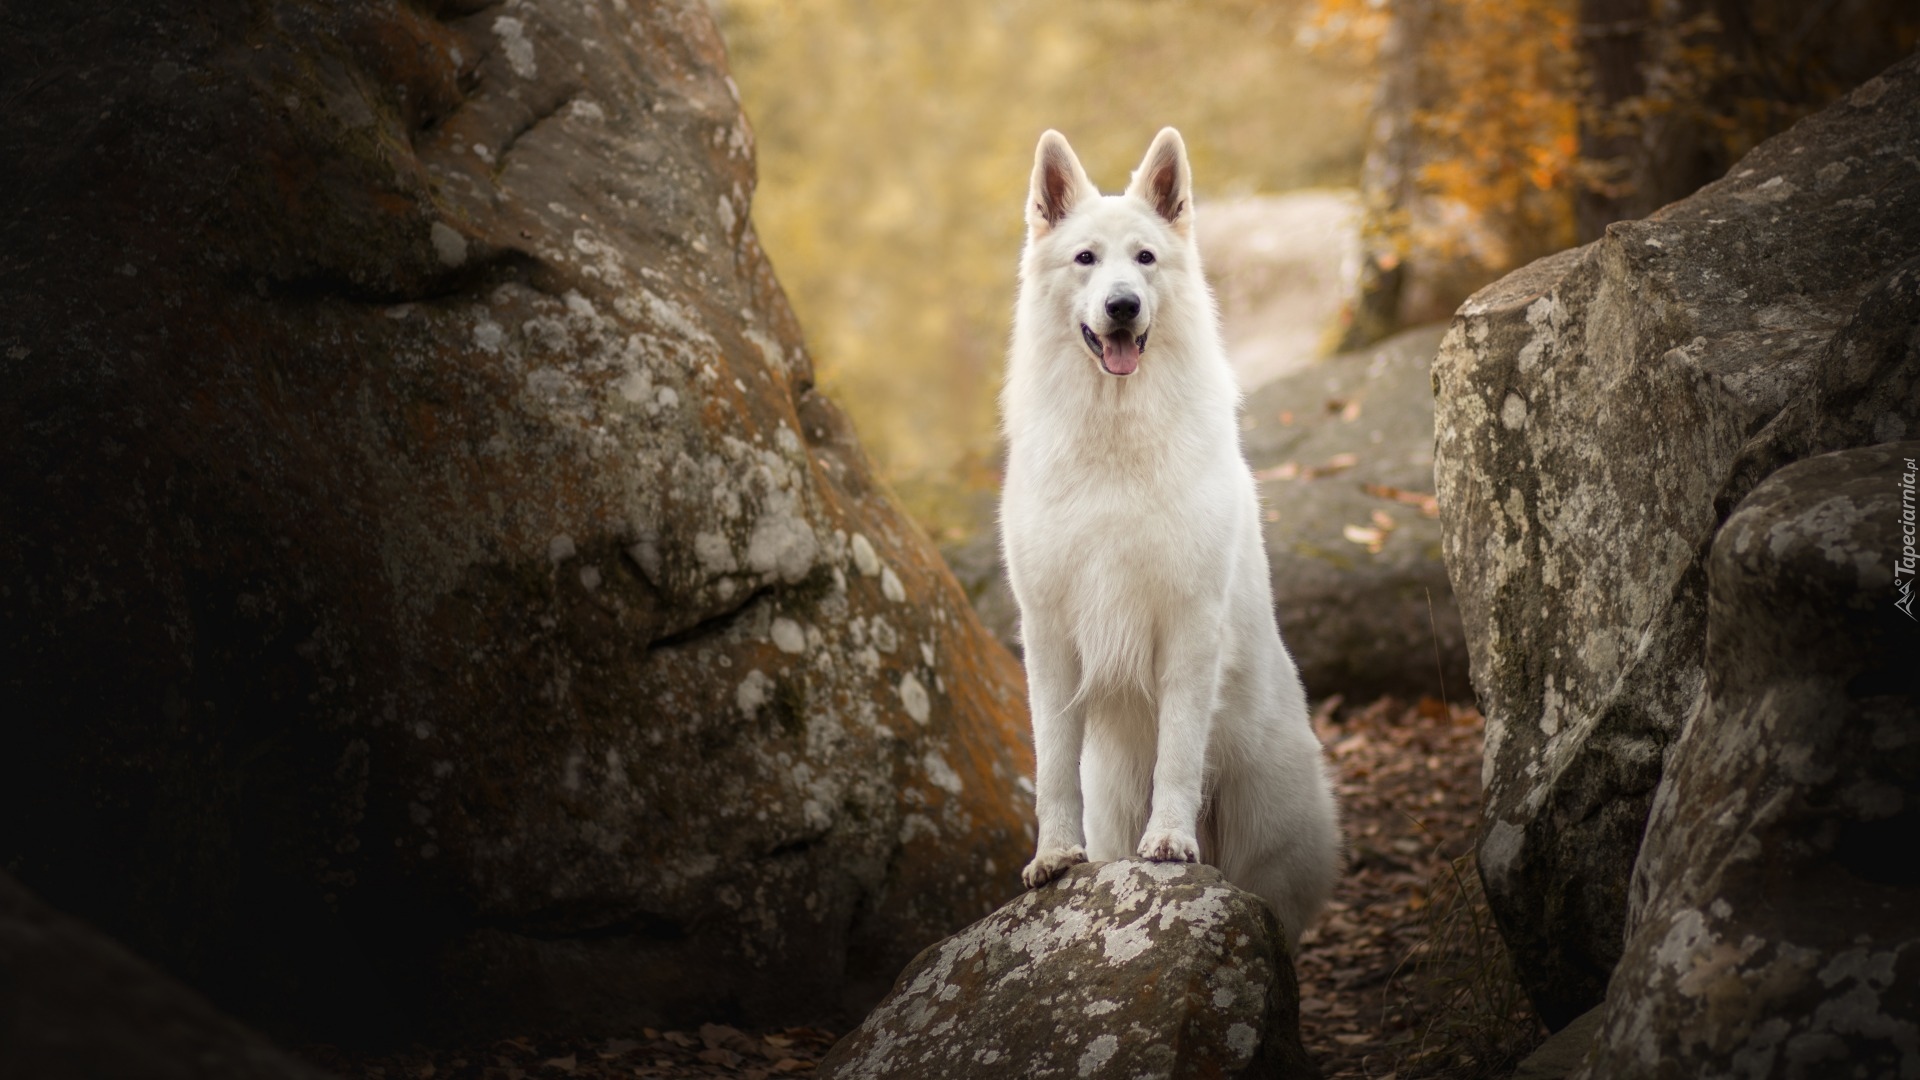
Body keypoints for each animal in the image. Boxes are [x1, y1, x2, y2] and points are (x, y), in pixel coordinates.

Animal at [998, 125, 1344, 941]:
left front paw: (1171, 842)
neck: (1114, 439)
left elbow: (1179, 755)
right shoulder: (1049, 635)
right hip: (1115, 793)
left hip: (1264, 840)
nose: (1122, 305)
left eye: (1146, 258)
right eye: (1086, 259)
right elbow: (1051, 766)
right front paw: (1052, 857)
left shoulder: (1188, 627)